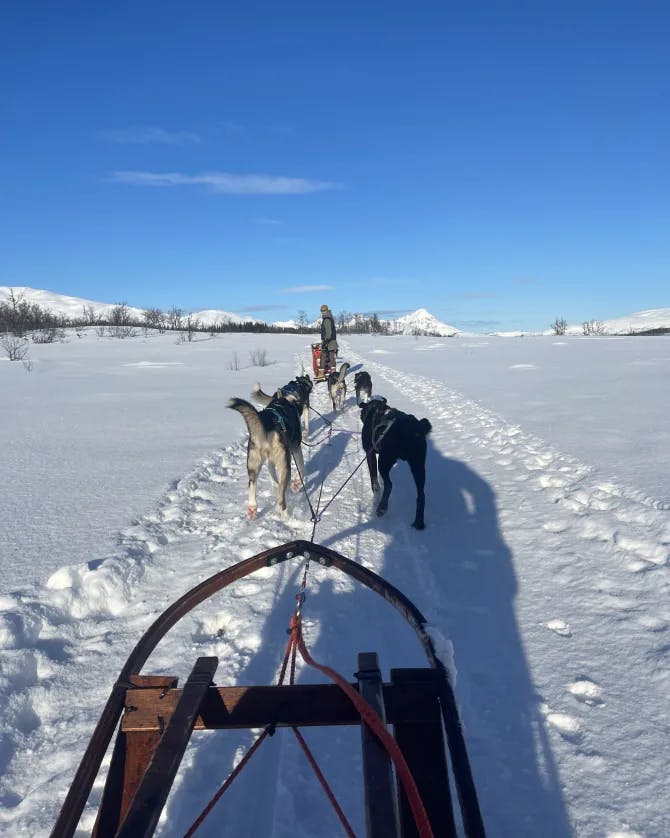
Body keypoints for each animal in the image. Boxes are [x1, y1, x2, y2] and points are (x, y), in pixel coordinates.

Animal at [360, 398, 434, 528]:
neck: (375, 408)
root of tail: (411, 430)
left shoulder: (370, 454)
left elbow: (375, 484)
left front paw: (376, 500)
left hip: (384, 461)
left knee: (390, 485)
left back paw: (381, 508)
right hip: (418, 466)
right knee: (421, 495)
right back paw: (418, 523)